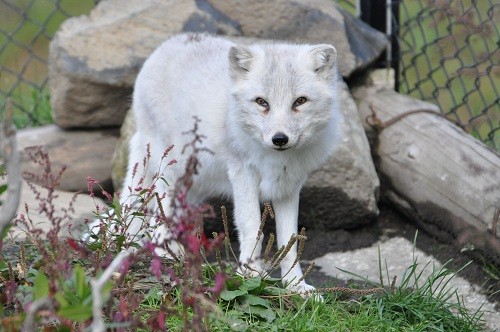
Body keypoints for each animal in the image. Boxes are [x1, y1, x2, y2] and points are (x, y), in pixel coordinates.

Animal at [122, 33, 340, 294]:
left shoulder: (288, 186)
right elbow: (252, 227)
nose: (279, 139)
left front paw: (295, 286)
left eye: (300, 101)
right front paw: (251, 275)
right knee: (158, 215)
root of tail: (175, 40)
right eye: (261, 102)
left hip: (195, 182)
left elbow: (289, 242)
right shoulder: (243, 174)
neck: (276, 159)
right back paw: (168, 254)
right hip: (170, 170)